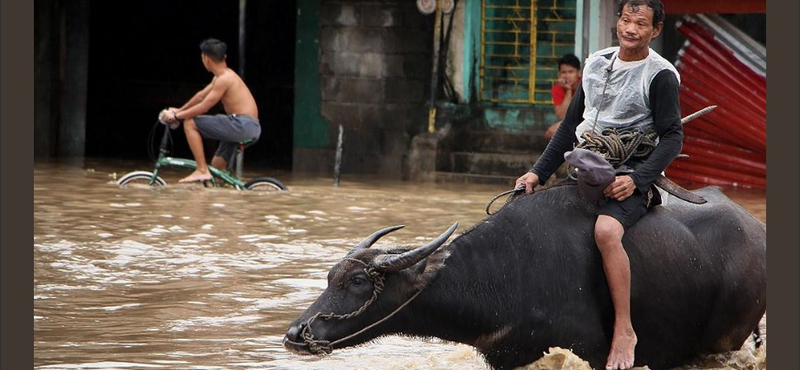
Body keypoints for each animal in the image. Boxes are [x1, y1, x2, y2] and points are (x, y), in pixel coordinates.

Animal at [284, 183, 764, 370]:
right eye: (329, 277)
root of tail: (755, 229)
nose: (295, 333)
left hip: (726, 338)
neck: (506, 272)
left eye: (358, 283)